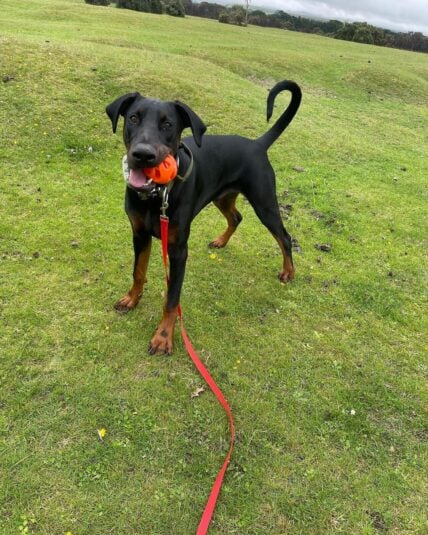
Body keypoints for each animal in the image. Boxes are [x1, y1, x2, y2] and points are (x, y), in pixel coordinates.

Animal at [106, 80, 300, 356]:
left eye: (168, 124)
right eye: (133, 118)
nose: (143, 155)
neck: (157, 195)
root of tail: (257, 144)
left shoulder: (178, 250)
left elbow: (172, 298)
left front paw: (163, 337)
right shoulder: (139, 234)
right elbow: (138, 272)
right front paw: (132, 299)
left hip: (264, 203)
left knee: (284, 236)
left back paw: (288, 271)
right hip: (222, 197)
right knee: (236, 217)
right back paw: (221, 241)